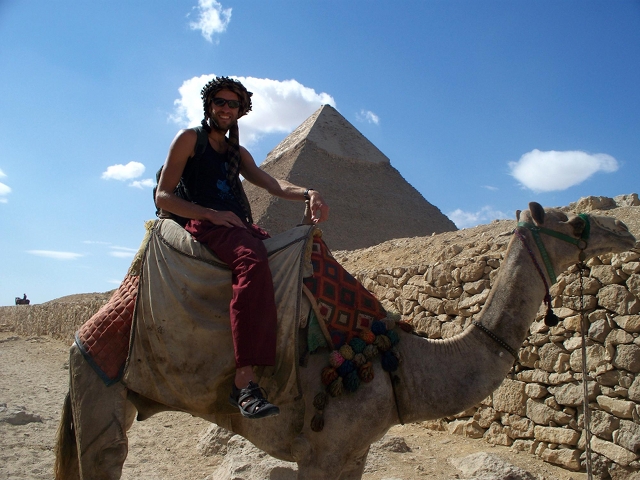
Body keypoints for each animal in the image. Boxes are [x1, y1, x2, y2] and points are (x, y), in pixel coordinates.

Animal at [53, 202, 636, 480]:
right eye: (575, 222)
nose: (624, 231)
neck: (398, 364)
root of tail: (87, 329)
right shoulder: (322, 452)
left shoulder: (355, 453)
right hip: (99, 385)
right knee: (106, 456)